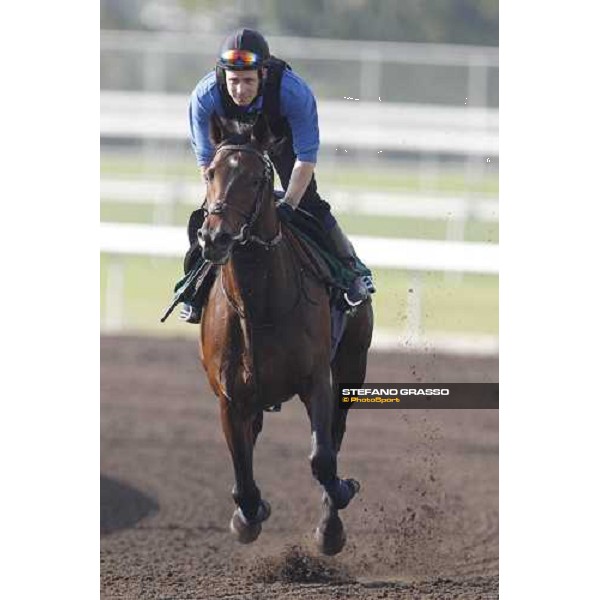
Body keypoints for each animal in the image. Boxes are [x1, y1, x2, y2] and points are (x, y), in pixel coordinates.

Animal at [199, 111, 372, 552]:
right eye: (210, 173)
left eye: (255, 179)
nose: (216, 237)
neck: (260, 306)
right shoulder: (231, 397)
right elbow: (242, 479)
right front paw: (248, 516)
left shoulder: (317, 380)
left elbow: (323, 459)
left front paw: (338, 507)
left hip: (352, 367)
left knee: (336, 436)